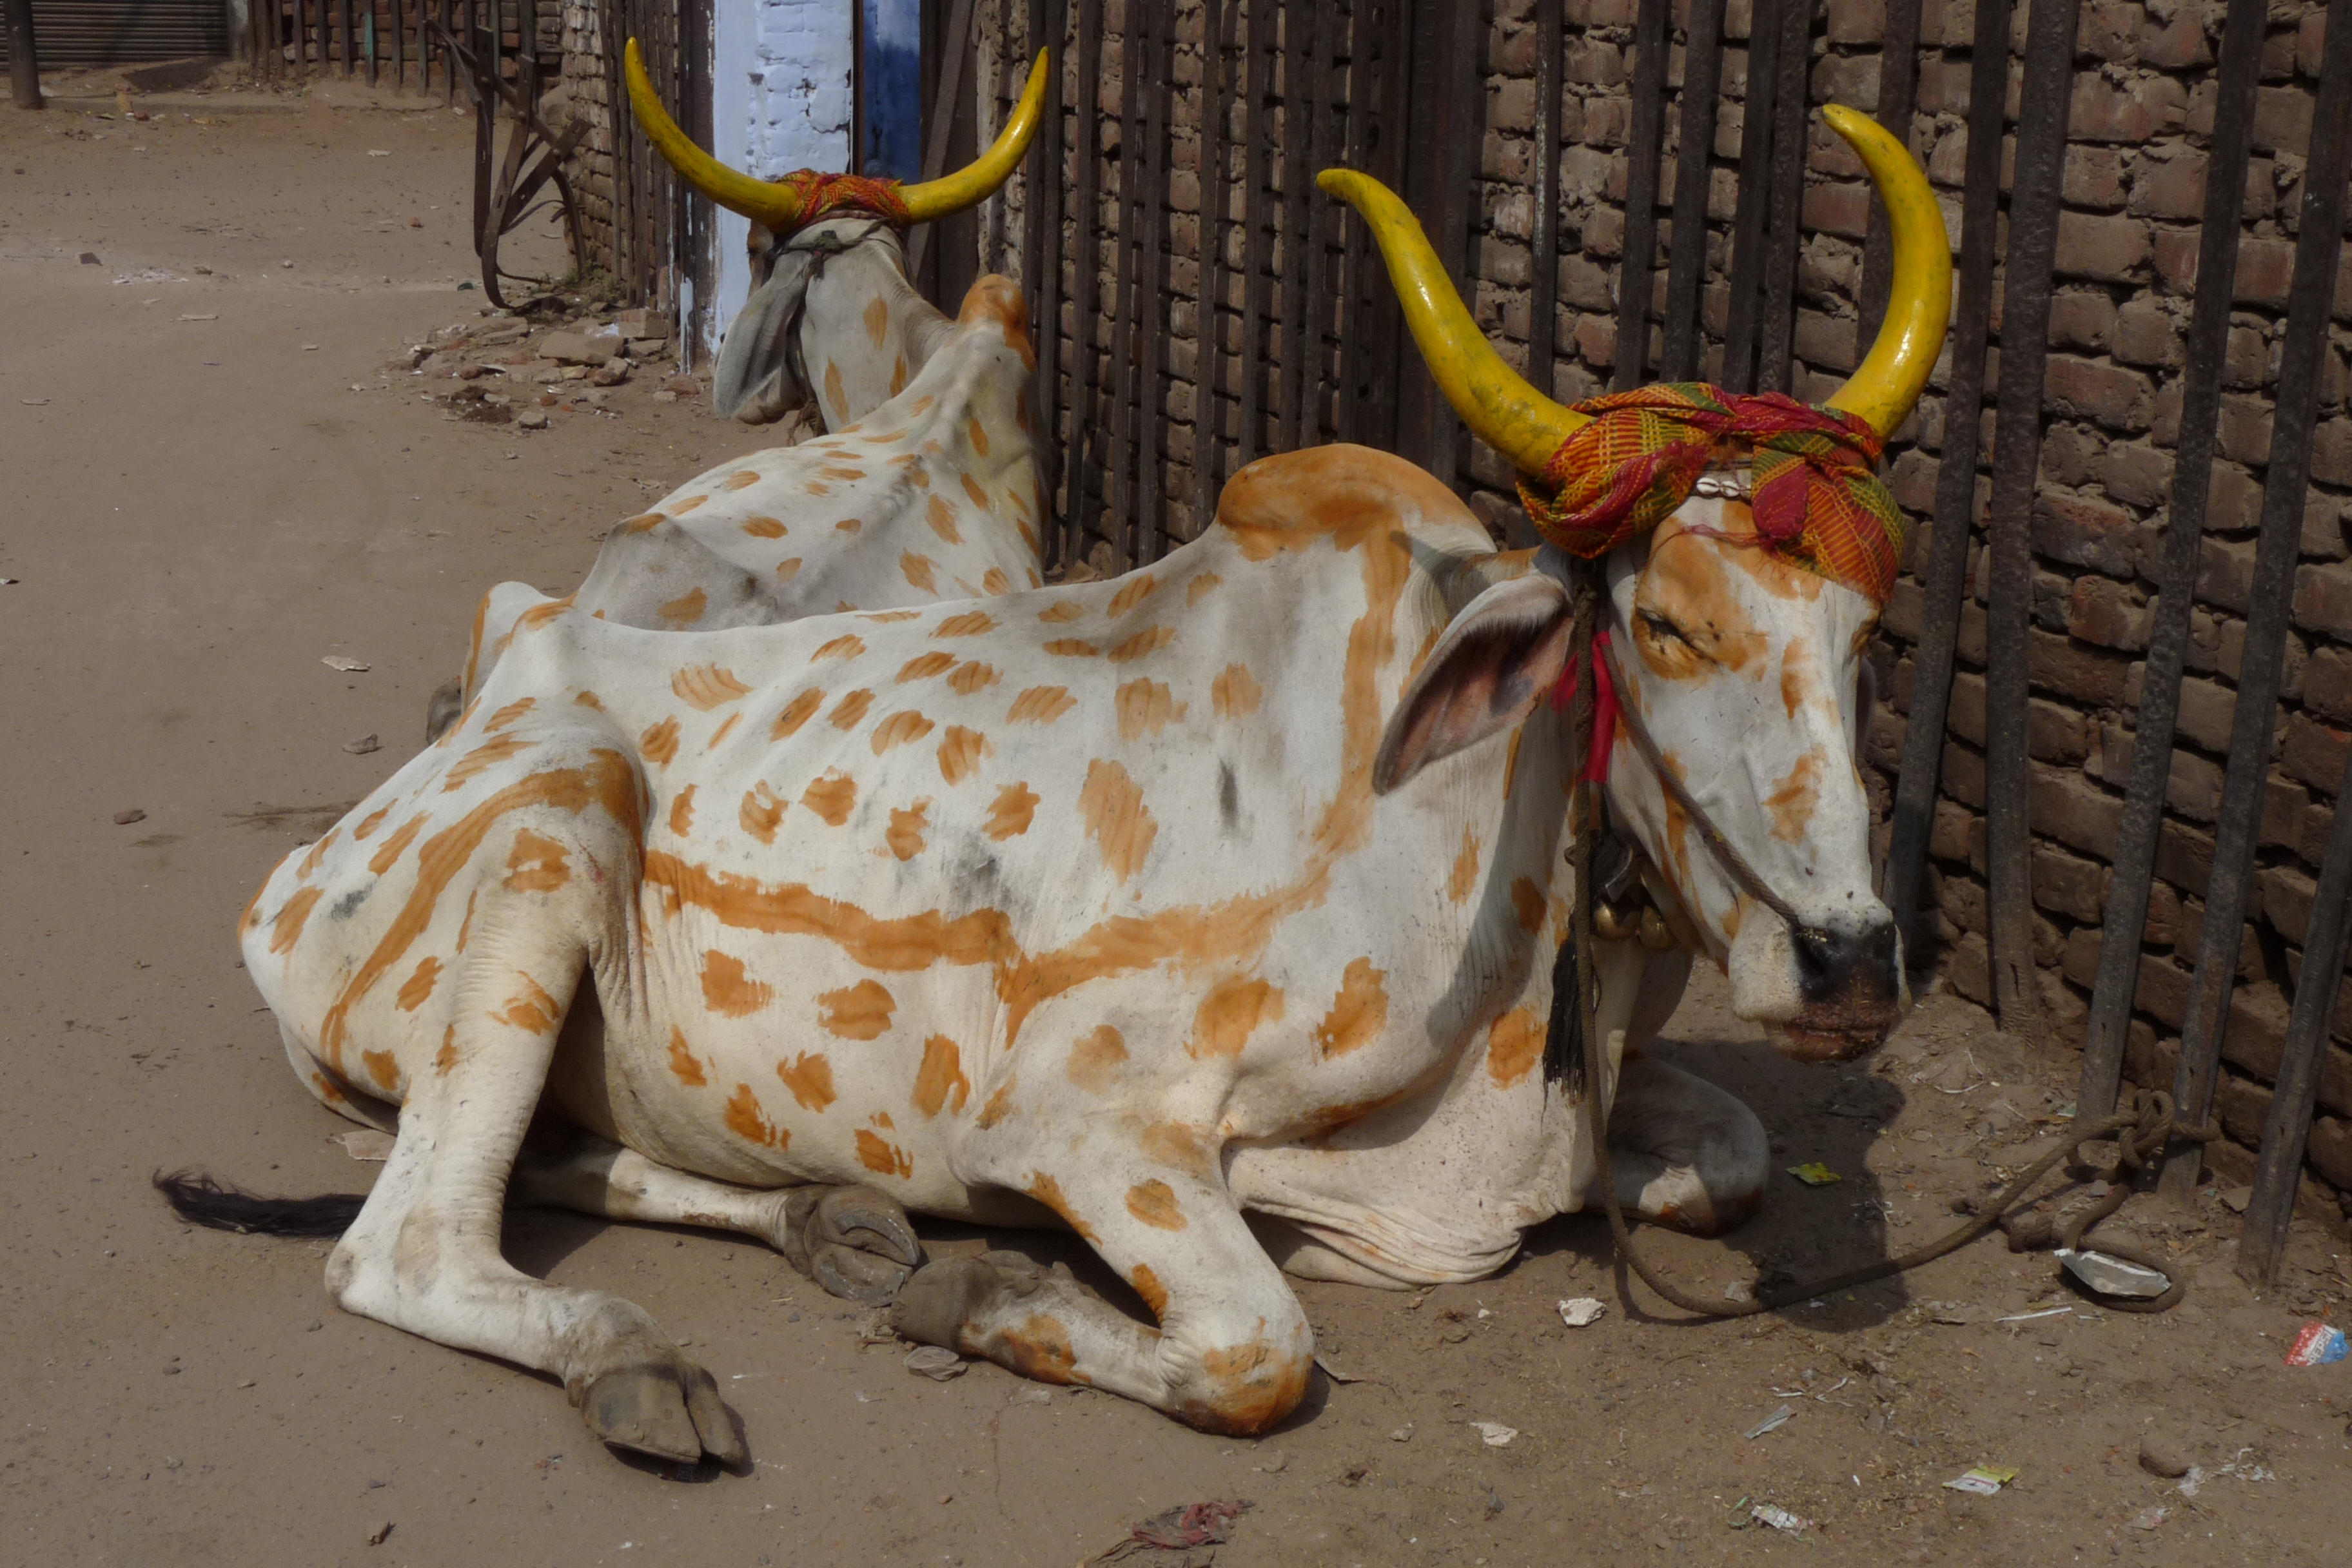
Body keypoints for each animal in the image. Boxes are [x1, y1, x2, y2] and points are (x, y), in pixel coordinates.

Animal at [176, 105, 1947, 1463]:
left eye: (1871, 633)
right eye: (1662, 622)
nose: (1854, 964)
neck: (1474, 839)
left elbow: (1730, 1161)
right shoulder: (1082, 1118)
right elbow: (1257, 1349)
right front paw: (980, 1296)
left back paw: (834, 1224)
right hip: (561, 809)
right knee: (409, 1240)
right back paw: (645, 1359)